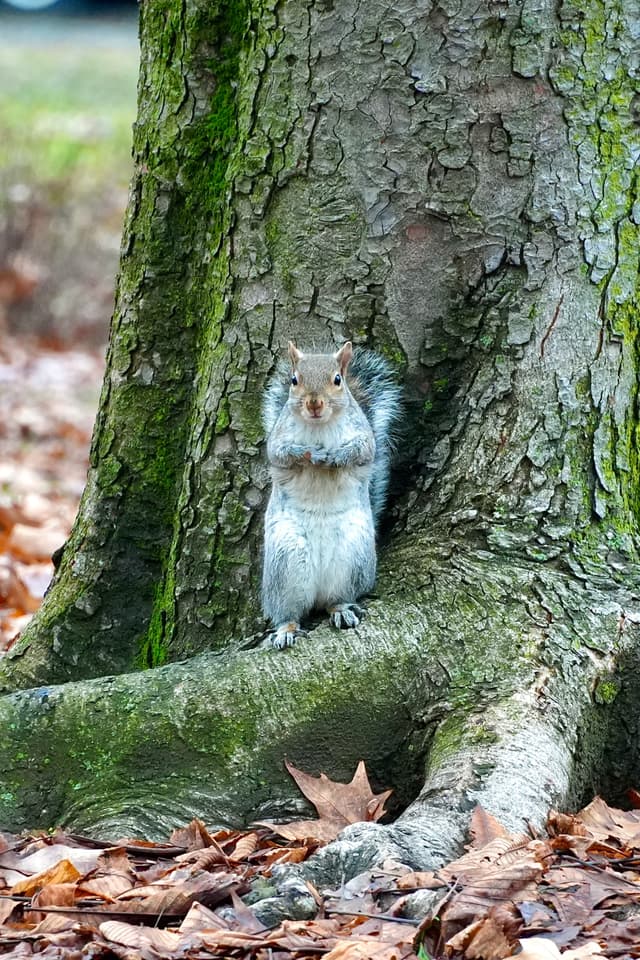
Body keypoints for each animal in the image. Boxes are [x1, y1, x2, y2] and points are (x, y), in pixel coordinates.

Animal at [261, 340, 401, 649]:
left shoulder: (364, 436)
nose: (314, 403)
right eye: (294, 380)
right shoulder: (277, 439)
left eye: (338, 380)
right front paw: (306, 454)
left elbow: (362, 451)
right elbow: (279, 453)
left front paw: (337, 456)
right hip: (286, 566)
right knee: (289, 611)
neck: (318, 427)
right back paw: (286, 630)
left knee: (335, 599)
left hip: (352, 558)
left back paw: (342, 611)